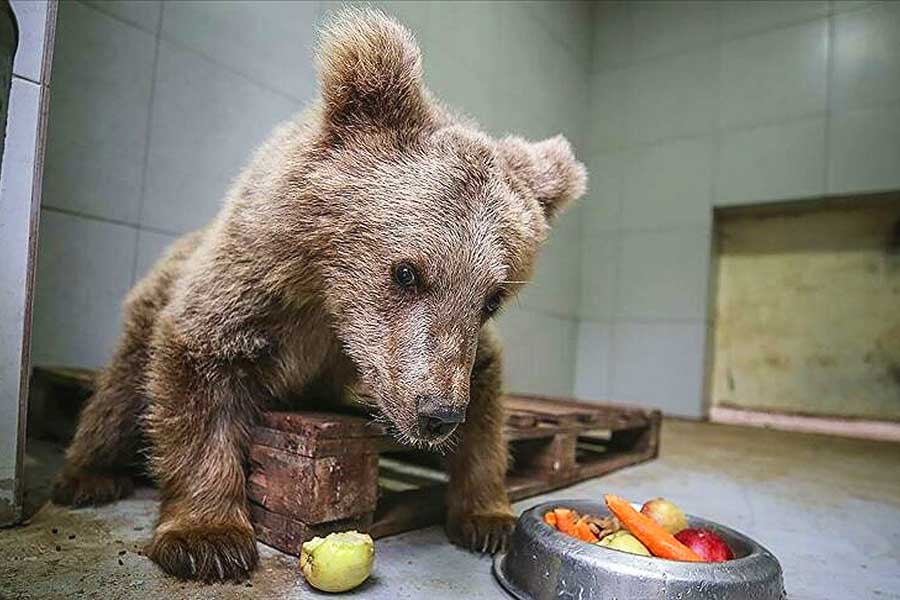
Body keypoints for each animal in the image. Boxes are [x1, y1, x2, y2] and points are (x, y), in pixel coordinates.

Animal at [51, 9, 586, 583]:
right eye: (407, 272)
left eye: (492, 298)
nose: (437, 412)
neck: (330, 300)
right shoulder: (255, 289)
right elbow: (201, 375)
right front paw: (208, 538)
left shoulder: (440, 350)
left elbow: (486, 400)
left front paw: (488, 518)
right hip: (149, 309)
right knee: (121, 393)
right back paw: (89, 476)